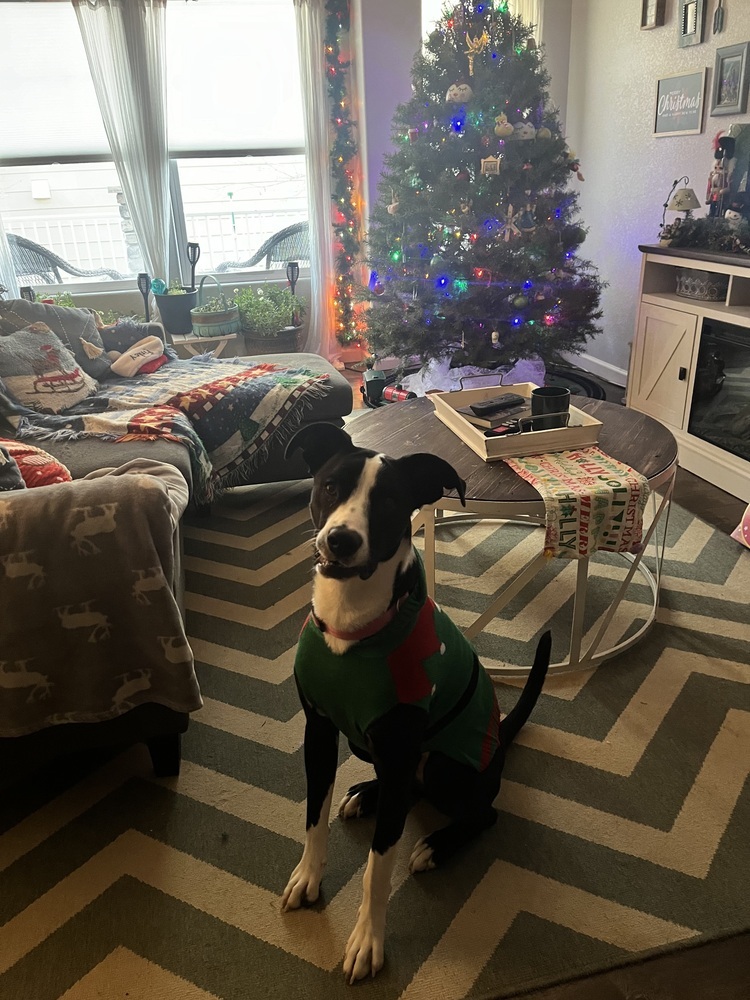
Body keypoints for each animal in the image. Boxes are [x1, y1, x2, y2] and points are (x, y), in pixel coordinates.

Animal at [282, 424, 552, 984]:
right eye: (331, 486)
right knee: (403, 790)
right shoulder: (318, 732)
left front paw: (367, 940)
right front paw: (308, 876)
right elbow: (314, 816)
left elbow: (376, 867)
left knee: (480, 812)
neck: (351, 622)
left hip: (447, 765)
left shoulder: (401, 745)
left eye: (388, 502)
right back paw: (367, 794)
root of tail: (499, 745)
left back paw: (435, 844)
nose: (341, 540)